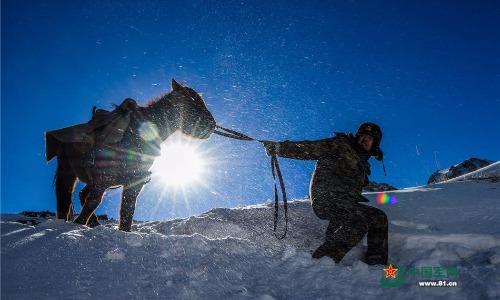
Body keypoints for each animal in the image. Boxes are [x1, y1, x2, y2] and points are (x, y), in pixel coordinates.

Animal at [44, 78, 214, 231]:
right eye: (192, 101)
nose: (212, 124)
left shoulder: (134, 181)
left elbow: (127, 212)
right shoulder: (105, 178)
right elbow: (95, 203)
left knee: (80, 196)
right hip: (68, 173)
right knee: (66, 201)